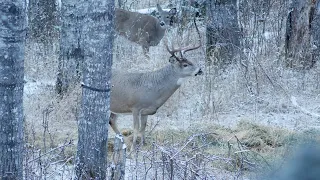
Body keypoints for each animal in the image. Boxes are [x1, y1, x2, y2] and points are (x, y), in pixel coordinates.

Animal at [109, 18, 201, 152]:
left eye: (191, 61)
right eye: (185, 65)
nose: (200, 70)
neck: (153, 88)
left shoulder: (146, 111)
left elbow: (143, 128)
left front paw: (143, 144)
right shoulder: (135, 107)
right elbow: (136, 128)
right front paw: (133, 149)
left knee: (112, 120)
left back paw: (122, 141)